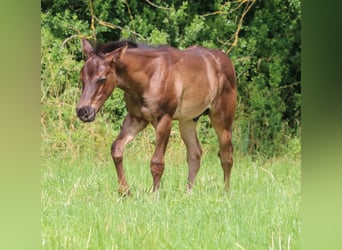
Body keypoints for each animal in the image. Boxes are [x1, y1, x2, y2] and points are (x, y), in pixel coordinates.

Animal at [76, 39, 236, 195]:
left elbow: (157, 162)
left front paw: (154, 195)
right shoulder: (136, 118)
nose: (83, 111)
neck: (149, 77)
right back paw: (188, 194)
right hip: (188, 120)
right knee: (195, 153)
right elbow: (117, 149)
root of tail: (225, 59)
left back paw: (226, 192)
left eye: (102, 79)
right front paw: (125, 192)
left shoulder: (164, 119)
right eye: (82, 77)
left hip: (222, 119)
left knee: (226, 154)